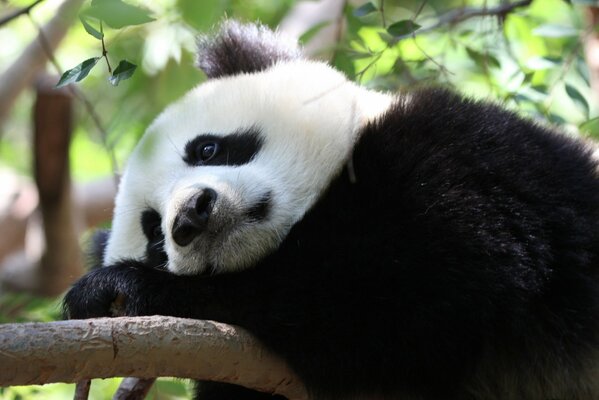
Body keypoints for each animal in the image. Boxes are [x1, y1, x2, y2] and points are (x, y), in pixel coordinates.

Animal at [65, 21, 599, 400]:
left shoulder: (469, 159)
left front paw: (124, 288)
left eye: (208, 149)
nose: (192, 216)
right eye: (155, 234)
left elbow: (406, 286)